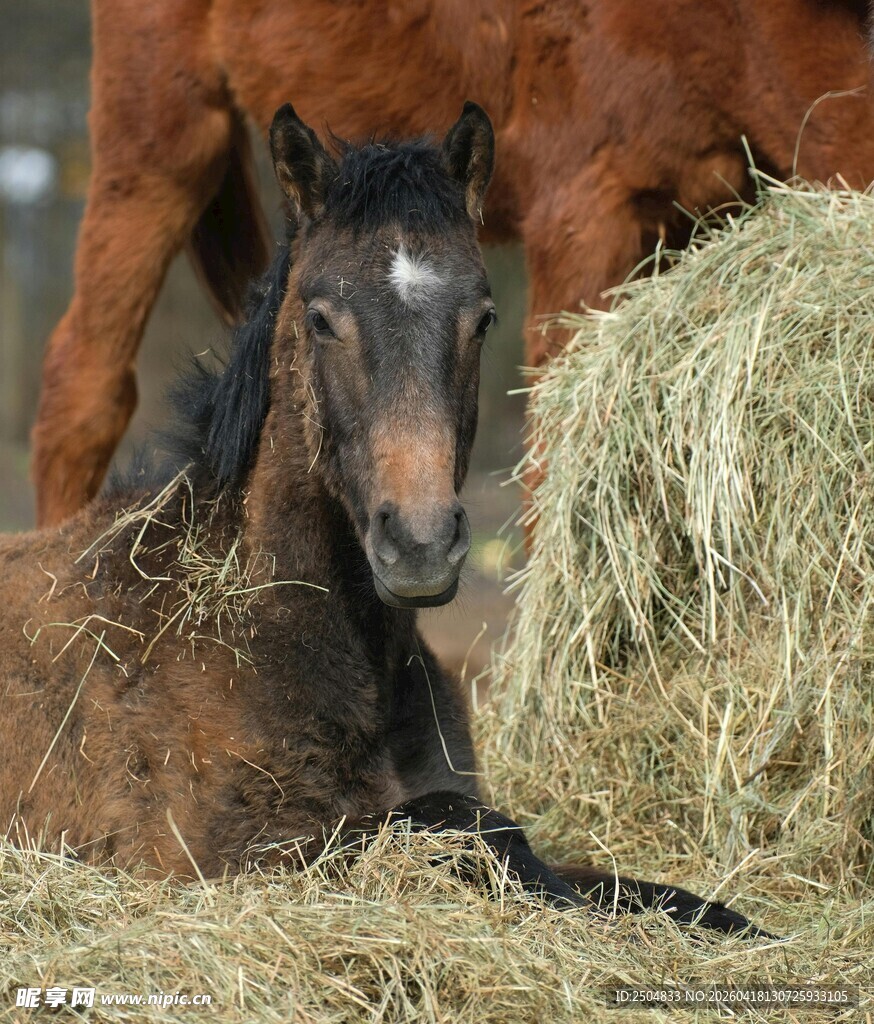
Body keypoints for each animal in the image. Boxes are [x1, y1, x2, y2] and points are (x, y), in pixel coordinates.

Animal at [1, 102, 767, 936]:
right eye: (321, 318)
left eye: (484, 317)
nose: (421, 545)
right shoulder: (235, 858)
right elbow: (476, 830)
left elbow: (652, 892)